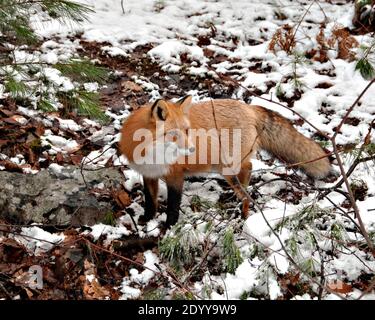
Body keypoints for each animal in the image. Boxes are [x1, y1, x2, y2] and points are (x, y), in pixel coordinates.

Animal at [119, 96, 332, 226]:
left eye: (187, 131)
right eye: (173, 134)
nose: (192, 149)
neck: (152, 154)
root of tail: (248, 107)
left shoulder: (175, 177)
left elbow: (173, 206)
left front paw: (169, 227)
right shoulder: (149, 173)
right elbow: (150, 200)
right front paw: (147, 218)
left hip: (227, 166)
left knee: (248, 169)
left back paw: (244, 209)